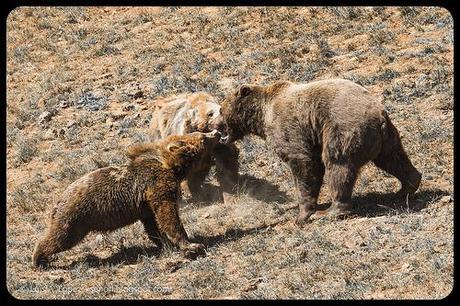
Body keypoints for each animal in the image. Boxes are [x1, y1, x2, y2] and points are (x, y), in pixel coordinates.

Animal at [31, 130, 222, 266]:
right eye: (202, 137)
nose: (216, 132)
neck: (172, 167)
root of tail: (58, 201)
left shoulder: (146, 204)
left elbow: (153, 224)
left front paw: (165, 243)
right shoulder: (157, 185)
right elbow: (168, 215)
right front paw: (191, 244)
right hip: (76, 217)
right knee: (60, 237)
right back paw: (39, 258)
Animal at [221, 79, 422, 225]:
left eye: (221, 111)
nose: (218, 129)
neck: (262, 116)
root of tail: (379, 114)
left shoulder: (289, 126)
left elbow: (304, 163)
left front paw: (302, 215)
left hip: (343, 129)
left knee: (337, 165)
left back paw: (332, 211)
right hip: (386, 138)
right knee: (393, 159)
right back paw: (406, 187)